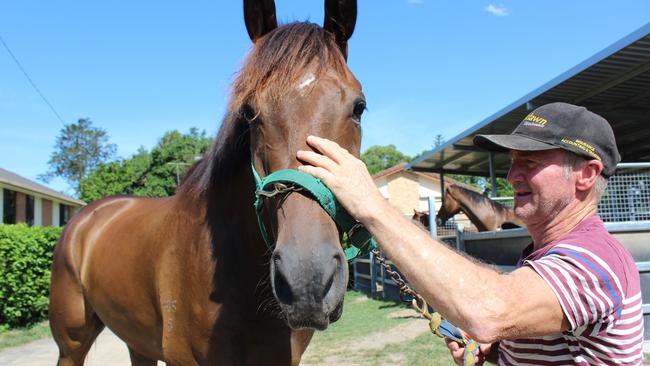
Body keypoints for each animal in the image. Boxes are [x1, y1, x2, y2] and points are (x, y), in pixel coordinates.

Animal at [49, 1, 364, 364]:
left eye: (359, 107)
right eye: (249, 112)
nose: (307, 281)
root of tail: (84, 220)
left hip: (137, 341)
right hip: (71, 344)